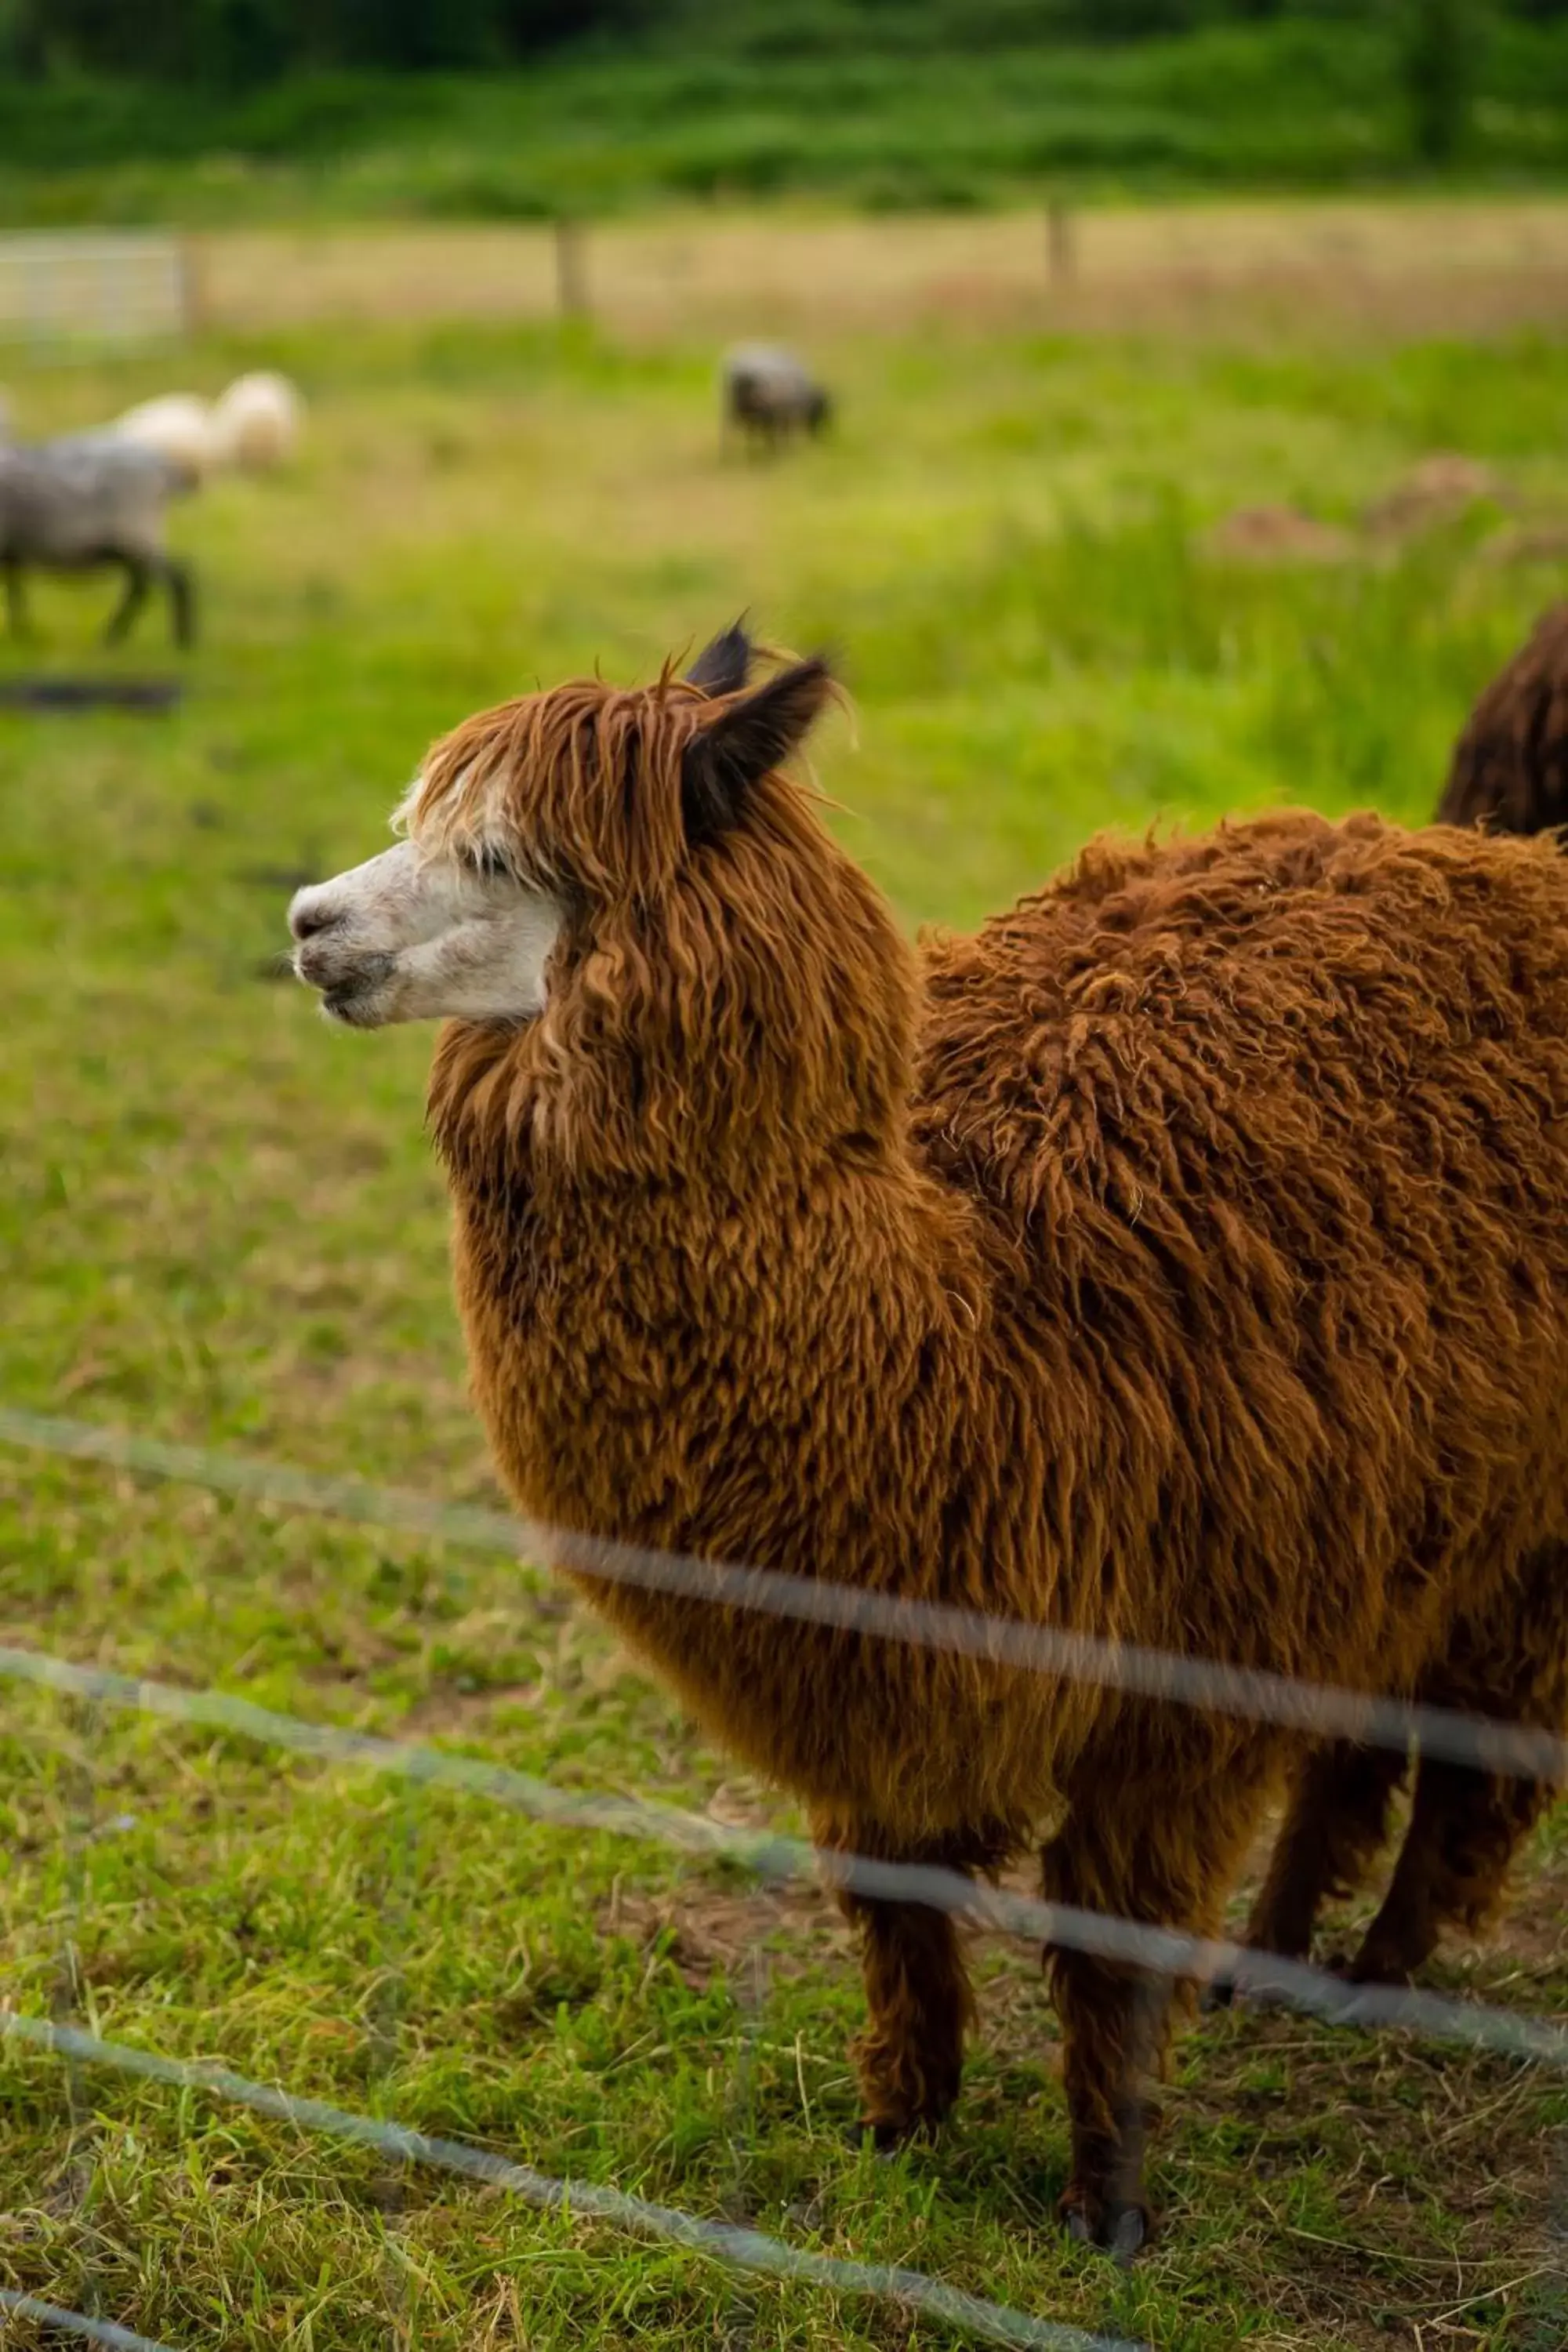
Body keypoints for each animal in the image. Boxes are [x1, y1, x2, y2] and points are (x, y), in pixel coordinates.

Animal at [0, 435, 194, 649]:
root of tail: (162, 470)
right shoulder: (13, 552)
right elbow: (15, 591)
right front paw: (21, 633)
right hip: (131, 544)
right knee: (143, 584)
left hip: (137, 534)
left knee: (174, 579)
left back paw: (178, 641)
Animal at [288, 635, 1568, 2249]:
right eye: (421, 820)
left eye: (503, 854)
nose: (308, 923)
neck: (969, 1320)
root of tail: (1510, 860)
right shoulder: (871, 1676)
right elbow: (899, 1915)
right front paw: (901, 2131)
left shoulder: (1183, 1674)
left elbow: (1113, 1946)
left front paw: (1108, 2206)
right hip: (1408, 1508)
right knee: (1360, 1741)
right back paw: (1272, 1963)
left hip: (1519, 1533)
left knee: (1474, 1761)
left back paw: (1372, 1976)